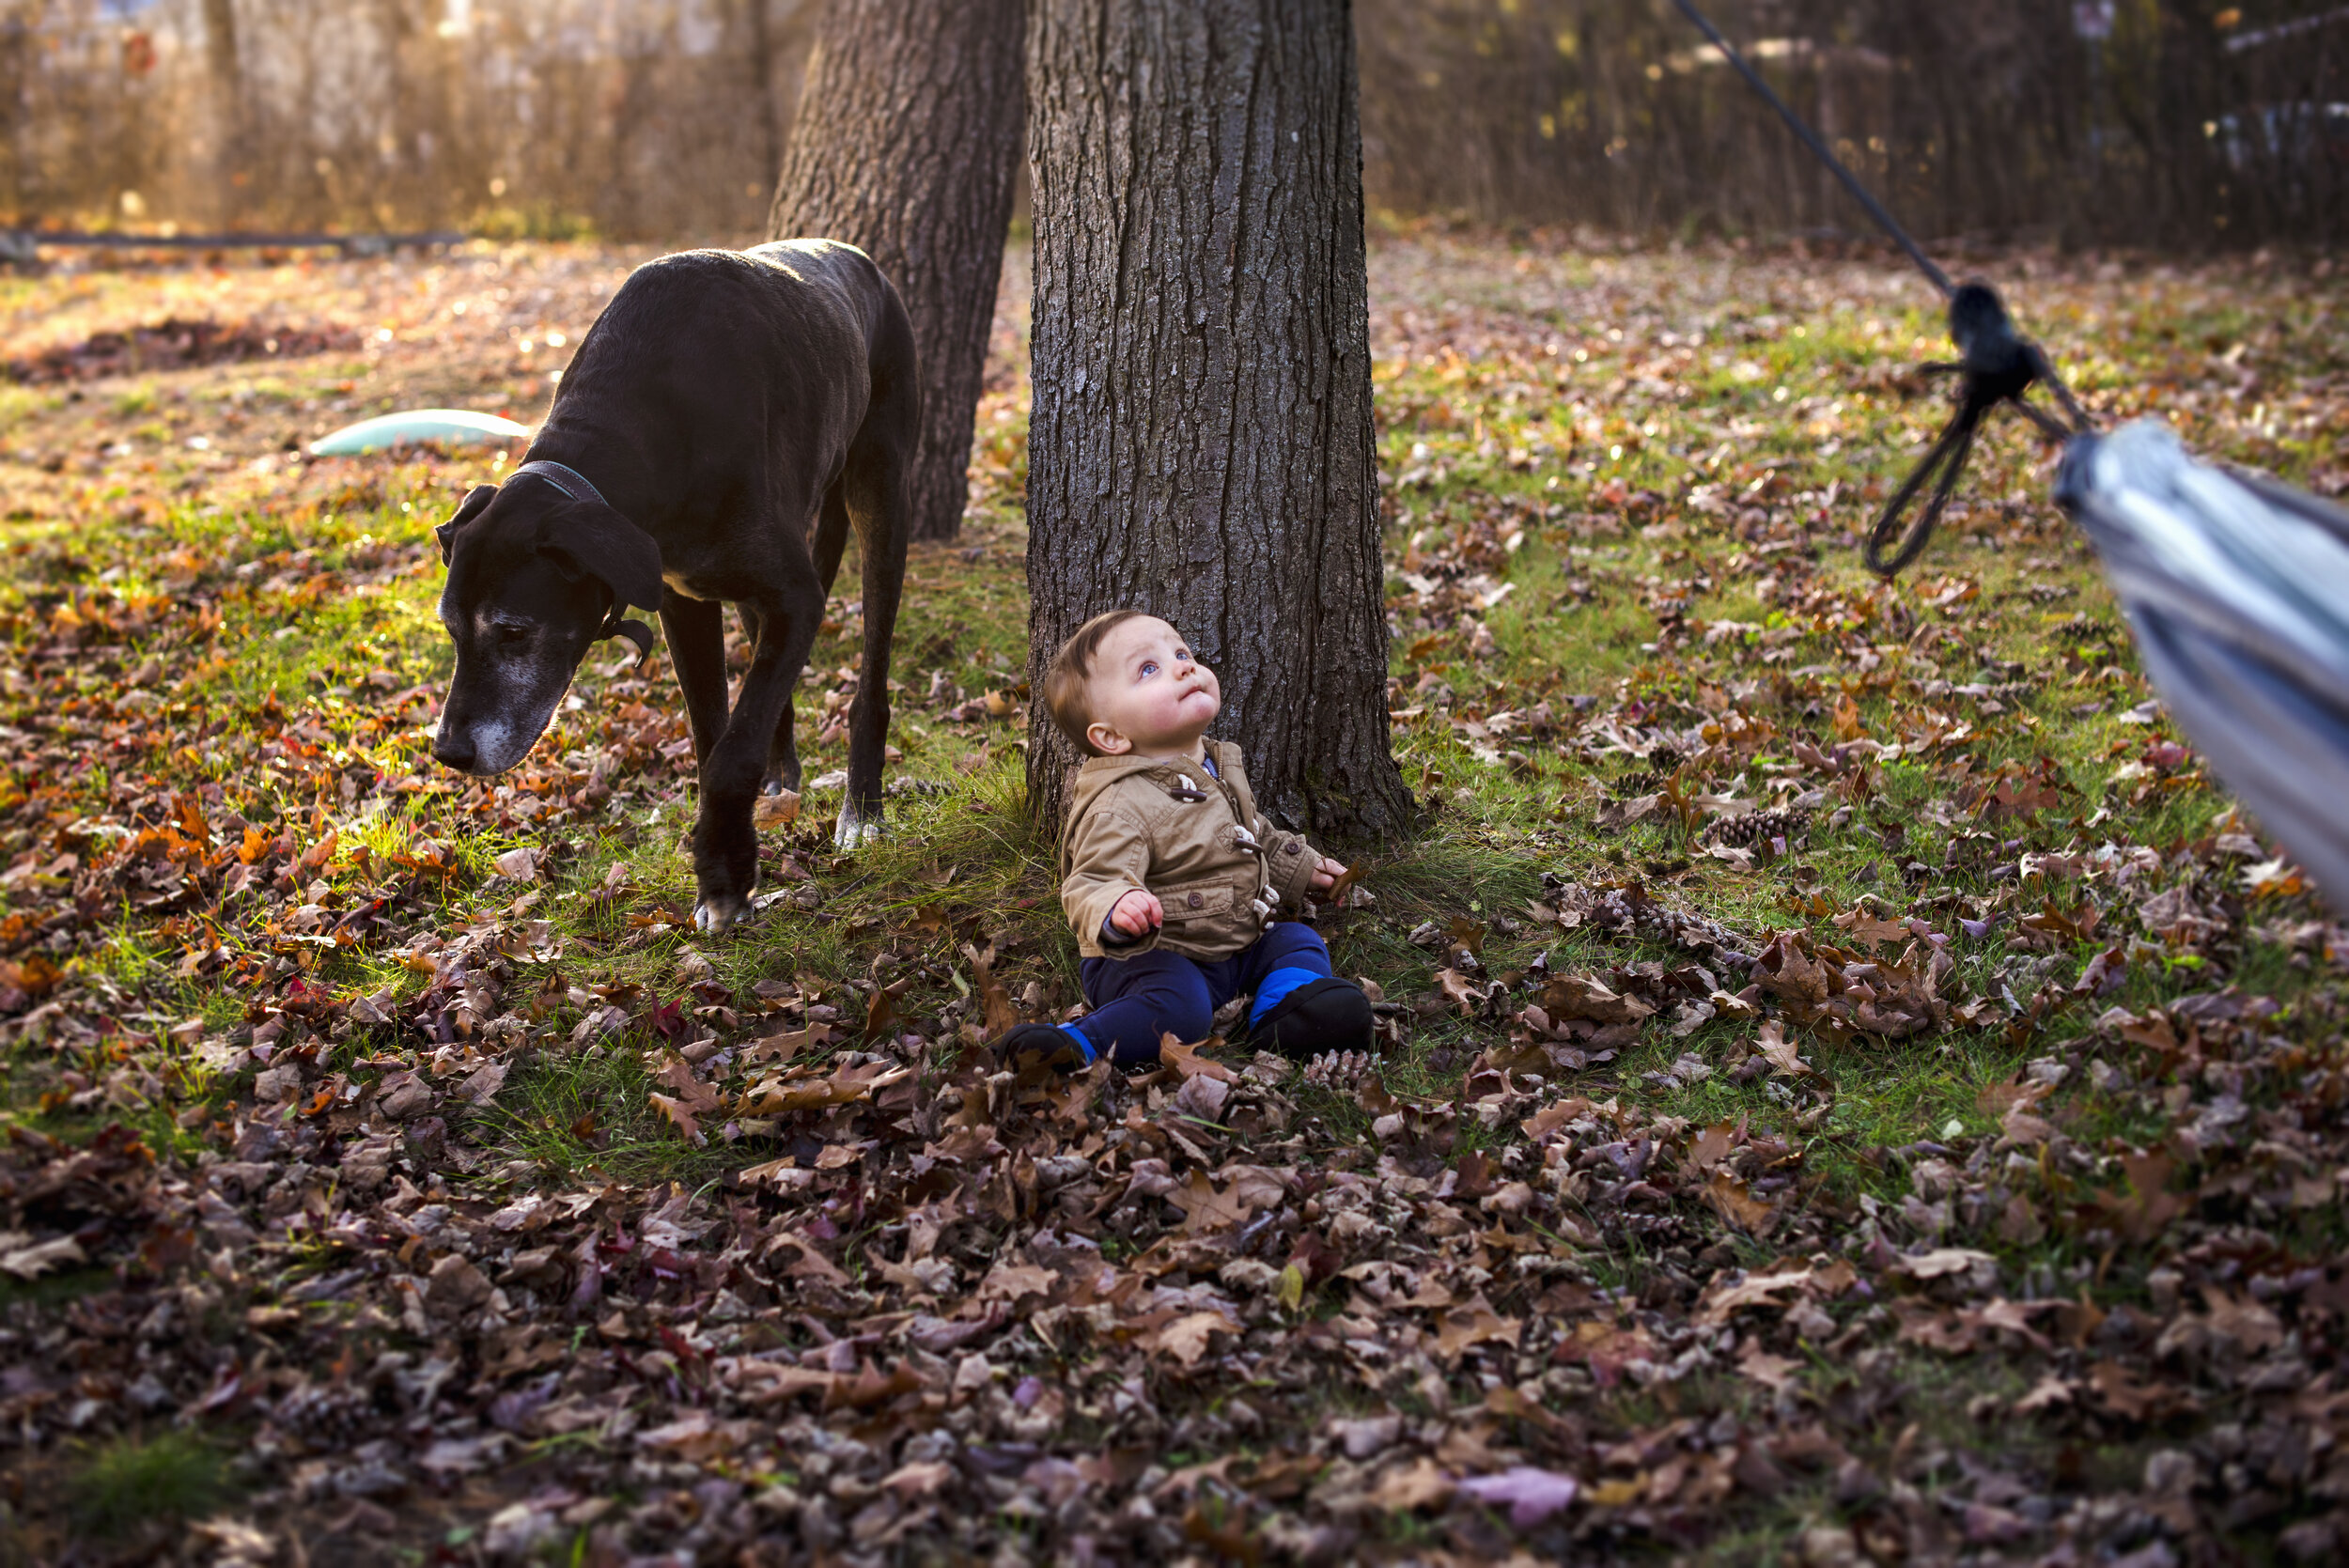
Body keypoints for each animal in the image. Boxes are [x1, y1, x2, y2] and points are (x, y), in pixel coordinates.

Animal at [432, 241, 916, 929]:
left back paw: (862, 809)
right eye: (450, 628)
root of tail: (856, 257)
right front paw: (725, 863)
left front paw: (725, 875)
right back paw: (781, 776)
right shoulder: (684, 603)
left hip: (880, 487)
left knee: (870, 671)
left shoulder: (797, 597)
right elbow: (714, 735)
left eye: (514, 632)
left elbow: (730, 755)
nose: (450, 753)